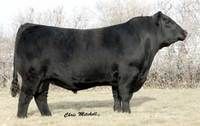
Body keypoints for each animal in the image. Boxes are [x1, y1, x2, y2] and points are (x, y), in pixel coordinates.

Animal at [10, 11, 187, 117]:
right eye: (168, 22)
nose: (185, 32)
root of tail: (29, 25)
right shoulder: (128, 74)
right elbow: (126, 95)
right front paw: (127, 113)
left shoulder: (116, 78)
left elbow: (116, 96)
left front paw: (118, 113)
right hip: (31, 76)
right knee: (25, 96)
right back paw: (22, 117)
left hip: (44, 78)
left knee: (40, 96)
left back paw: (48, 115)